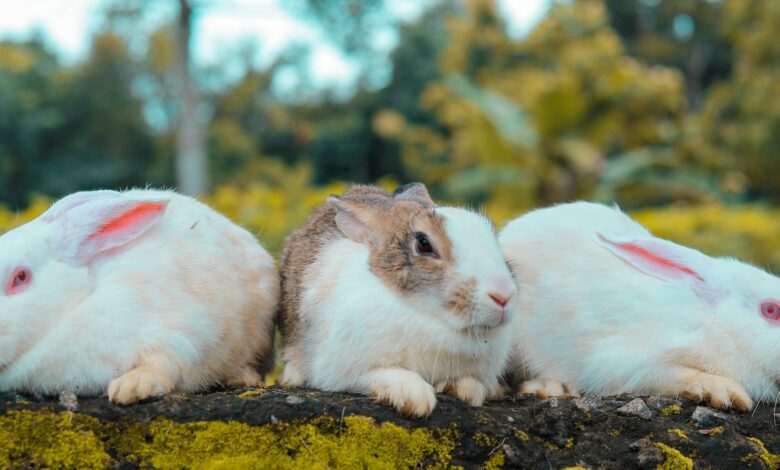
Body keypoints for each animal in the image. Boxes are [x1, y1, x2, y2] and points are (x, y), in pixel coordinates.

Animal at [278, 182, 516, 416]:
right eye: (423, 243)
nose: (503, 296)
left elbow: (469, 383)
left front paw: (466, 391)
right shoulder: (338, 369)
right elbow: (379, 374)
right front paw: (413, 397)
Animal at [500, 202, 780, 412]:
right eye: (771, 310)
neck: (719, 326)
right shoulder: (628, 364)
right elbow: (673, 375)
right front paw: (723, 391)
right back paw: (549, 388)